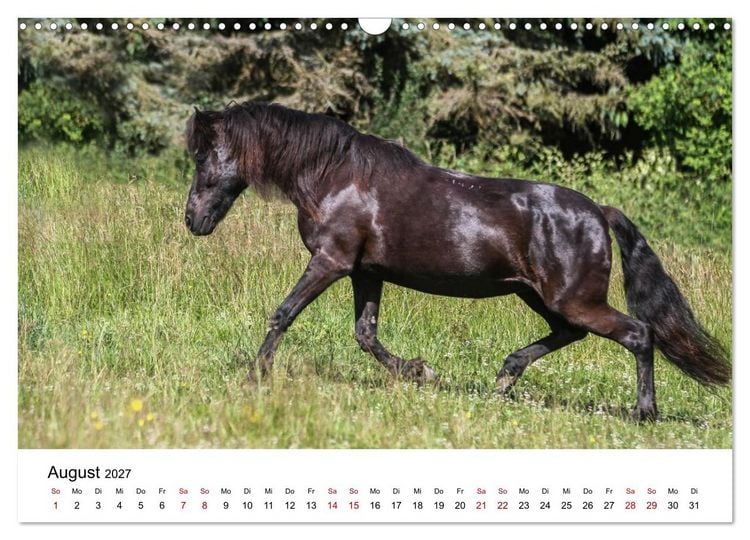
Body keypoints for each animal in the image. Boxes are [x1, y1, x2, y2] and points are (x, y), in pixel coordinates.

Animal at [183, 101, 730, 420]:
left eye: (204, 154)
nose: (193, 219)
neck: (334, 175)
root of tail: (599, 211)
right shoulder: (365, 272)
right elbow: (366, 335)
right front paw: (421, 372)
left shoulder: (331, 262)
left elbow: (283, 313)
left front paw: (256, 375)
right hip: (539, 295)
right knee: (570, 334)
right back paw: (504, 379)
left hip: (573, 298)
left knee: (638, 334)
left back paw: (644, 413)